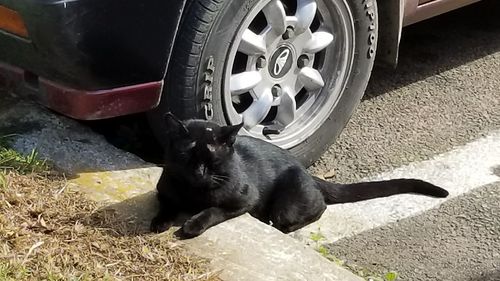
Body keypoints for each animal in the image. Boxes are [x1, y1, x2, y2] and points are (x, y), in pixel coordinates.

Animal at [151, 112, 450, 237]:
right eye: (186, 158)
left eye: (212, 160)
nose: (199, 173)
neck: (194, 194)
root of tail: (307, 171)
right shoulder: (165, 190)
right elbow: (167, 204)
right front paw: (160, 222)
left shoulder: (243, 200)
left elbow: (212, 211)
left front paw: (191, 225)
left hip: (286, 205)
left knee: (318, 208)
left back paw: (279, 226)